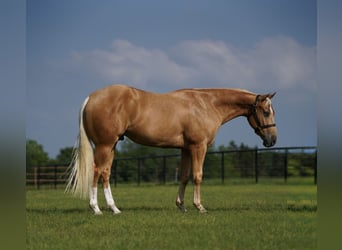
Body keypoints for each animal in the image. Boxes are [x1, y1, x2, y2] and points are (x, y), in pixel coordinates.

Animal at [65, 84, 276, 215]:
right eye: (266, 112)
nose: (272, 140)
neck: (206, 104)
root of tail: (91, 97)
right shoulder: (198, 147)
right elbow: (197, 176)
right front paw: (199, 207)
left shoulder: (185, 149)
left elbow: (183, 176)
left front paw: (182, 207)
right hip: (105, 145)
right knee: (97, 171)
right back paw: (96, 209)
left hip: (111, 146)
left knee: (106, 173)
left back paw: (114, 208)